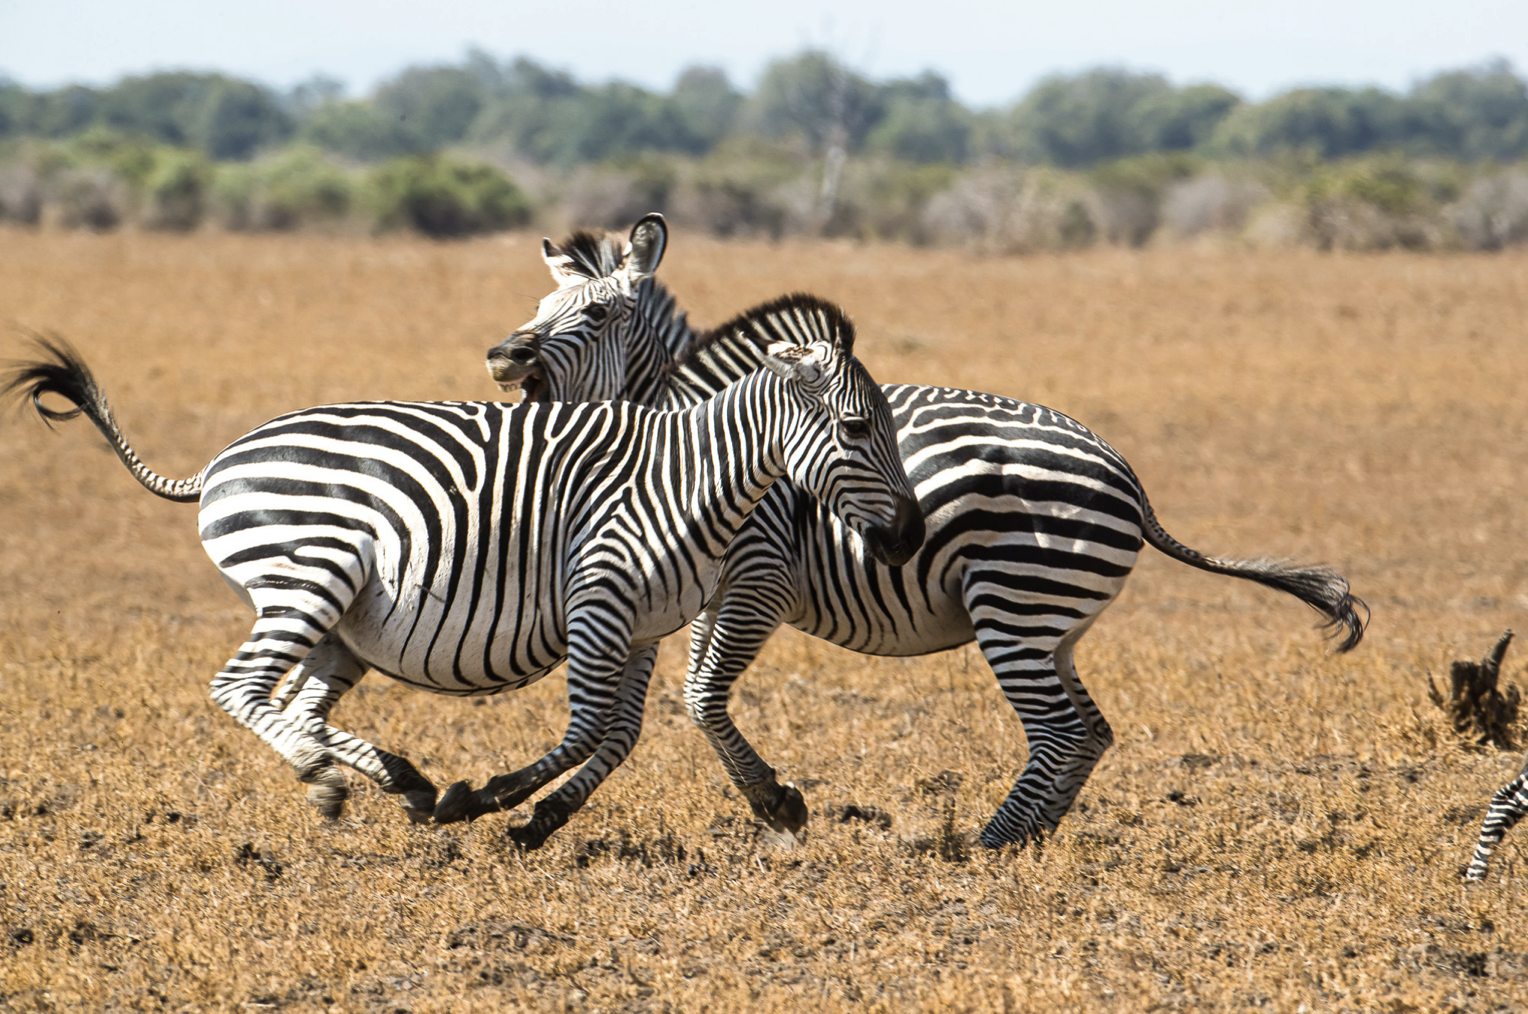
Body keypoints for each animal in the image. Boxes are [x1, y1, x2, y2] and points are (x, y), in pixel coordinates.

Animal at [5, 304, 921, 850]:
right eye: (855, 427)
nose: (911, 536)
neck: (687, 480)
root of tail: (221, 461)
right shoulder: (598, 599)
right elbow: (589, 730)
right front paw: (487, 802)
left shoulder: (640, 626)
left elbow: (620, 733)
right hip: (311, 578)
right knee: (241, 688)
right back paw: (329, 780)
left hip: (344, 623)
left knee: (295, 703)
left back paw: (396, 779)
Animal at [485, 213, 1369, 849]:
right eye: (537, 309)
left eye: (598, 312)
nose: (502, 355)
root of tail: (1127, 474)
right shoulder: (691, 593)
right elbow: (646, 714)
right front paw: (546, 815)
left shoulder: (757, 581)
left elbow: (699, 698)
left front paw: (775, 803)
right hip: (1057, 623)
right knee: (1089, 732)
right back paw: (1030, 835)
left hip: (1016, 601)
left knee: (1057, 732)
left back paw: (987, 843)